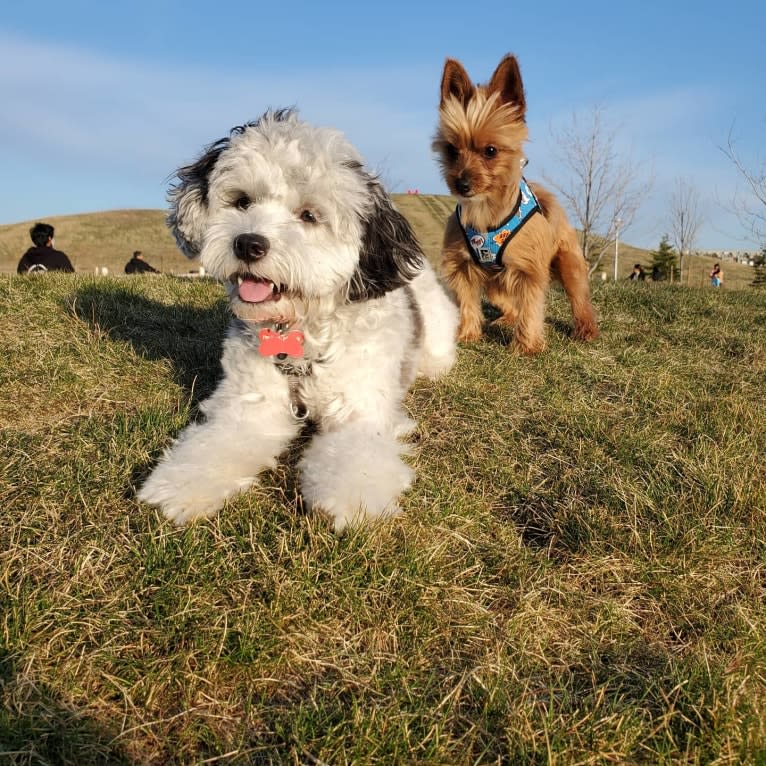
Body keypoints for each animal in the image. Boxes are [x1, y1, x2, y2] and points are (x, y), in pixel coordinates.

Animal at [139, 109, 460, 536]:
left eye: (309, 215)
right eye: (242, 201)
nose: (248, 243)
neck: (301, 333)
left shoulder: (360, 409)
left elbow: (355, 456)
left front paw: (352, 499)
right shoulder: (251, 405)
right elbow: (216, 444)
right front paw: (183, 485)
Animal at [432, 54, 600, 354]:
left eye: (490, 151)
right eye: (451, 150)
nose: (462, 184)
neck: (485, 212)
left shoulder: (528, 270)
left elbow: (531, 307)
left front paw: (527, 346)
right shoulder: (461, 266)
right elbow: (466, 301)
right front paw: (466, 334)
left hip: (569, 264)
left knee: (579, 299)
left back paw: (586, 329)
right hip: (495, 282)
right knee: (506, 301)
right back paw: (505, 319)